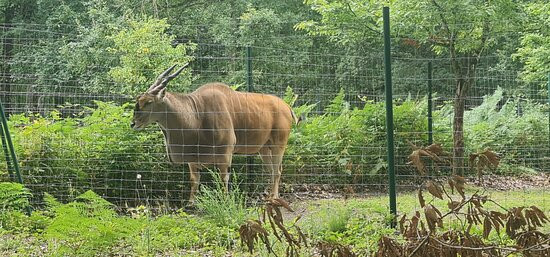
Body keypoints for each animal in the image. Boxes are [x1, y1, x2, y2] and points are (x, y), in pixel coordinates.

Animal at [132, 63, 300, 202]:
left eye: (148, 102)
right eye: (138, 100)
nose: (133, 123)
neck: (197, 113)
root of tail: (287, 106)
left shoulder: (225, 153)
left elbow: (223, 178)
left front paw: (224, 200)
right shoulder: (193, 156)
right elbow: (194, 179)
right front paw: (191, 202)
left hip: (279, 144)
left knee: (277, 171)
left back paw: (274, 197)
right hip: (263, 149)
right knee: (271, 171)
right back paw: (268, 196)